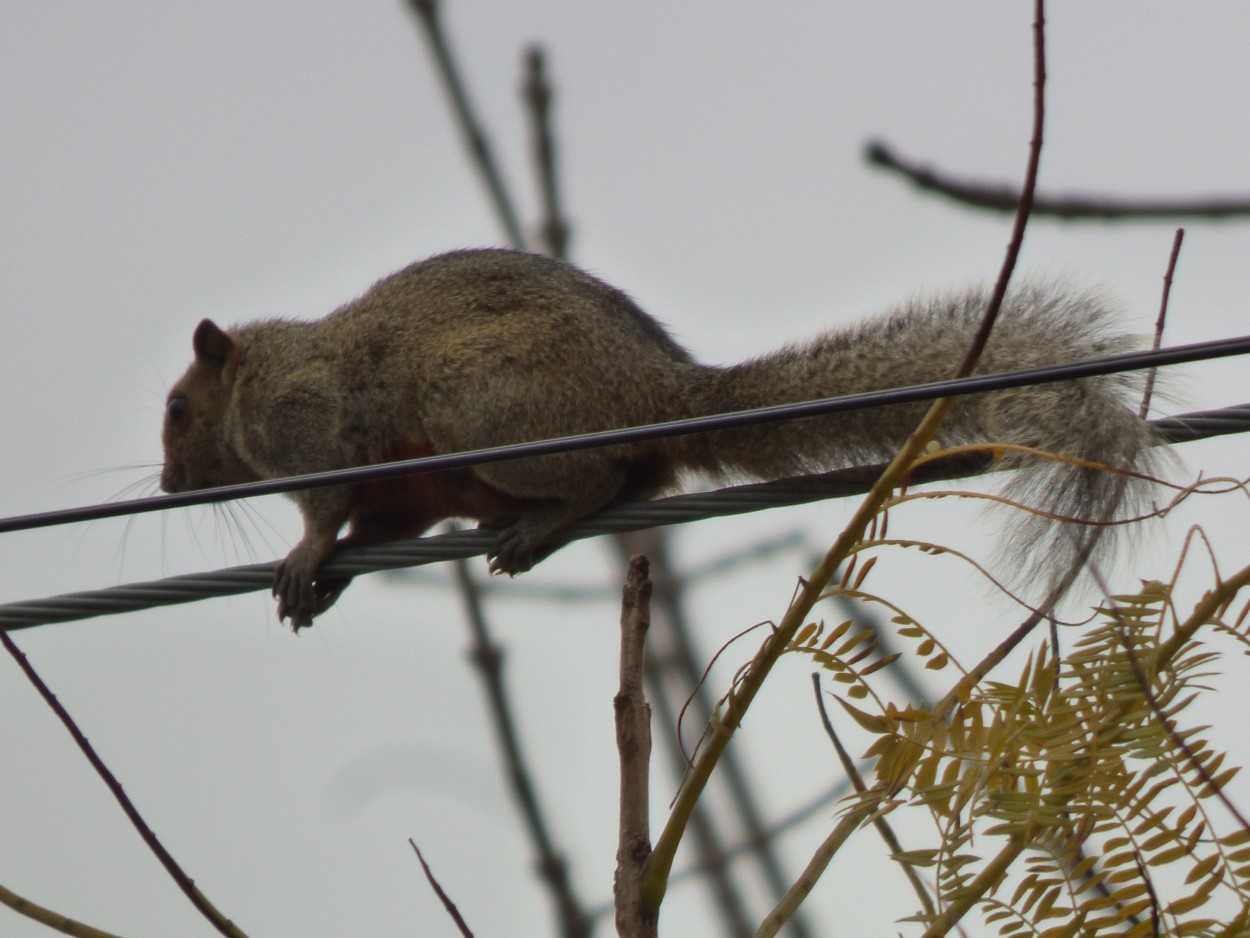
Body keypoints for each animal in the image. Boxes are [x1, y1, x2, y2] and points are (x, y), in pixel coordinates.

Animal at [163, 250, 1160, 632]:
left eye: (177, 409)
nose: (170, 487)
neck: (255, 381)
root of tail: (656, 391)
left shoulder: (312, 424)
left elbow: (327, 506)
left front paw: (304, 558)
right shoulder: (399, 491)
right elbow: (377, 528)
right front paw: (323, 586)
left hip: (479, 404)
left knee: (599, 478)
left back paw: (540, 522)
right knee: (634, 481)